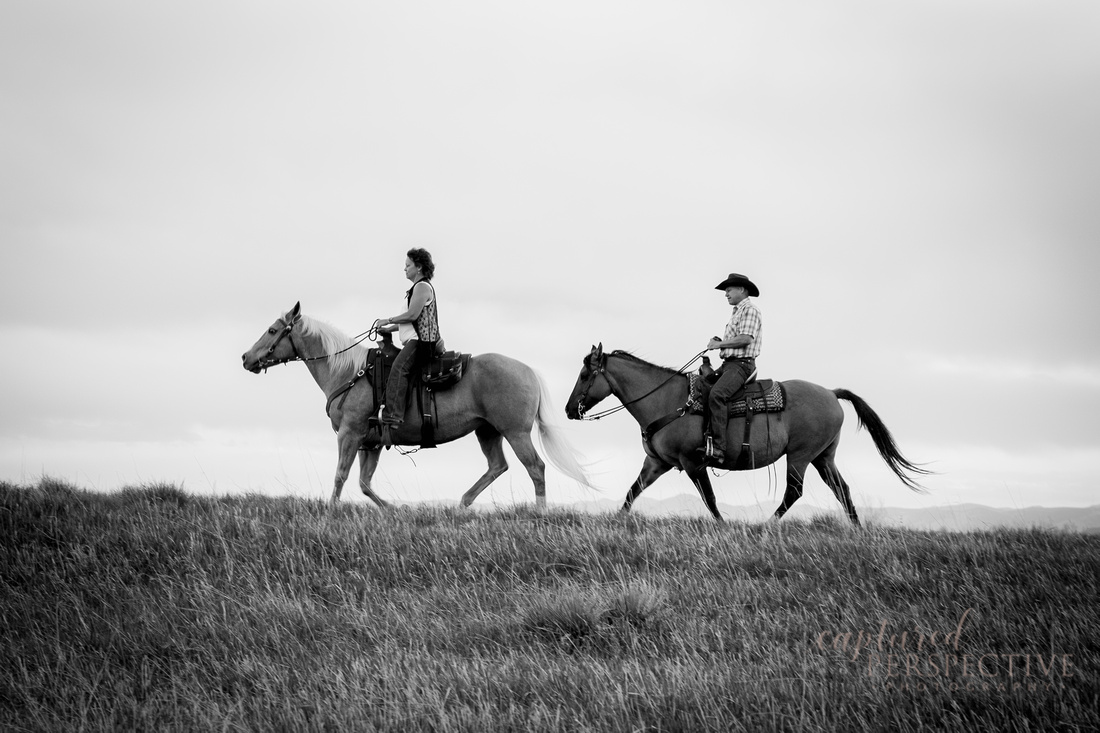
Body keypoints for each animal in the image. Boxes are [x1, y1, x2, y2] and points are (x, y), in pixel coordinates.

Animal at [242, 301, 594, 501]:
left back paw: (539, 512)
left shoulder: (350, 434)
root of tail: (529, 370)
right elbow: (364, 484)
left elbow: (341, 477)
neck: (350, 372)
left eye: (272, 330)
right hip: (487, 431)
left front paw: (331, 513)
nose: (246, 357)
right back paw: (462, 504)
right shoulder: (370, 442)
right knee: (498, 466)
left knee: (535, 468)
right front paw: (394, 510)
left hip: (515, 432)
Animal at [567, 343, 928, 519]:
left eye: (585, 375)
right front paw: (616, 523)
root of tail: (831, 392)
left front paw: (724, 529)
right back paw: (856, 529)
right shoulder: (656, 463)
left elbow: (710, 500)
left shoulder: (693, 463)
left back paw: (764, 528)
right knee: (842, 490)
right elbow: (632, 492)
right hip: (824, 457)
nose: (571, 410)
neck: (668, 401)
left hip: (800, 456)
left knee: (793, 492)